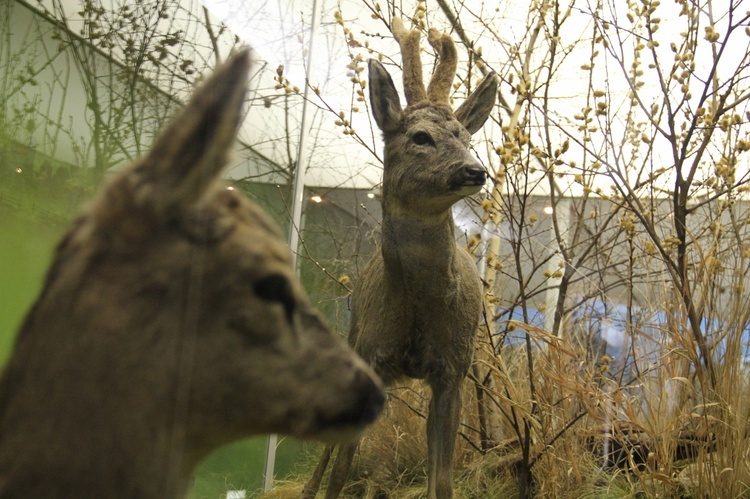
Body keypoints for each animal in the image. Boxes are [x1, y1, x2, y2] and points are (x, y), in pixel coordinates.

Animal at [306, 17, 500, 498]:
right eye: (420, 137)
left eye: (466, 137)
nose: (474, 170)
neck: (417, 304)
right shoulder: (373, 355)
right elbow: (340, 474)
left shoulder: (455, 367)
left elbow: (442, 480)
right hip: (353, 337)